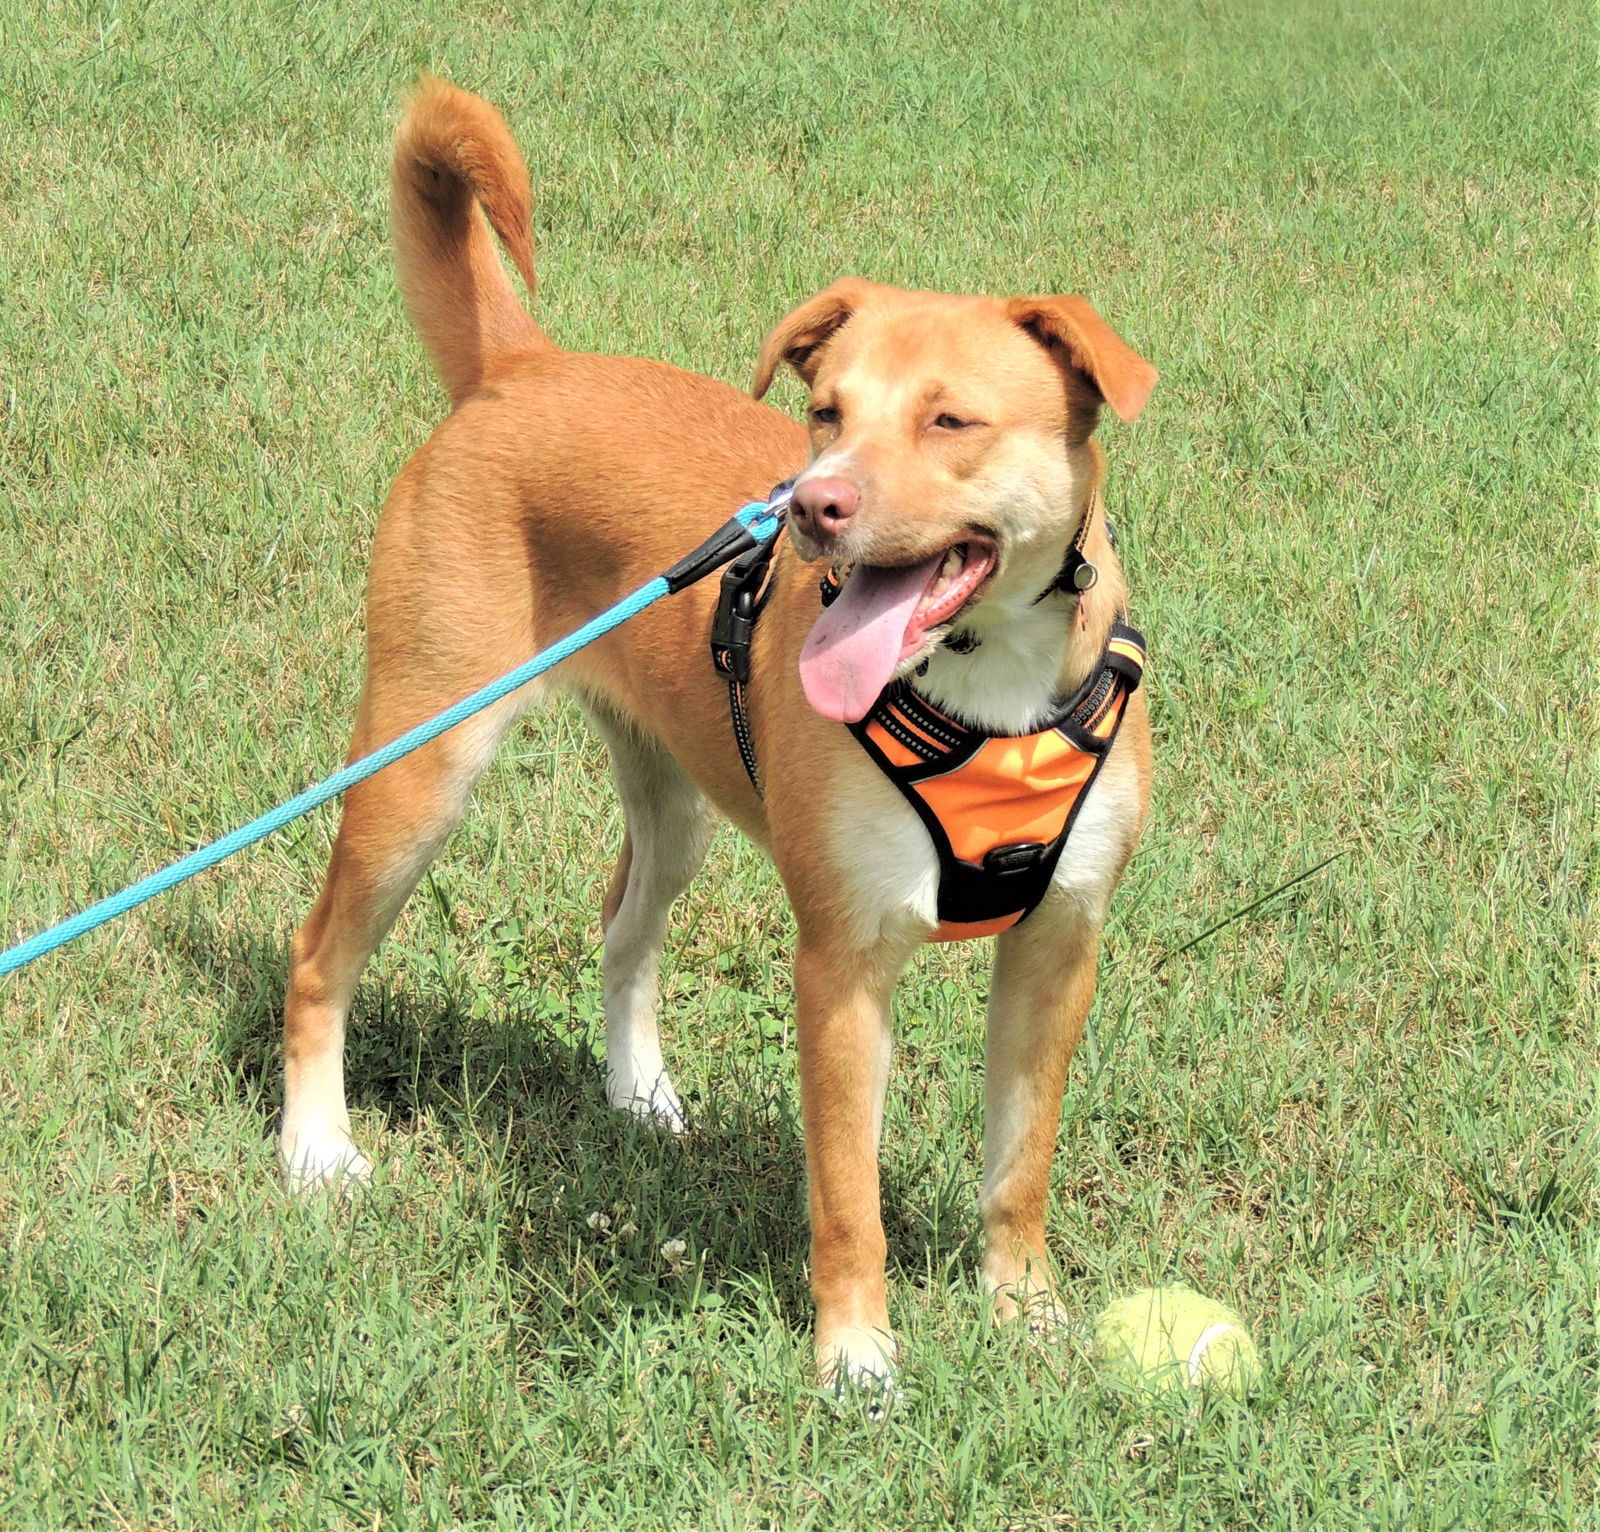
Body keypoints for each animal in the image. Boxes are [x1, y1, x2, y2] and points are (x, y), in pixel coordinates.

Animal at [281, 75, 1158, 1394]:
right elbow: (847, 1194)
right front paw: (855, 1357)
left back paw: (638, 1090)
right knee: (317, 955)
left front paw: (1026, 1310)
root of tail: (520, 367)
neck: (985, 695)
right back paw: (313, 1149)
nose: (813, 507)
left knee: (620, 930)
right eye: (824, 411)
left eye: (950, 420)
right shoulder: (842, 961)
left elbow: (1020, 1161)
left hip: (674, 799)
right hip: (420, 766)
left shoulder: (1058, 942)